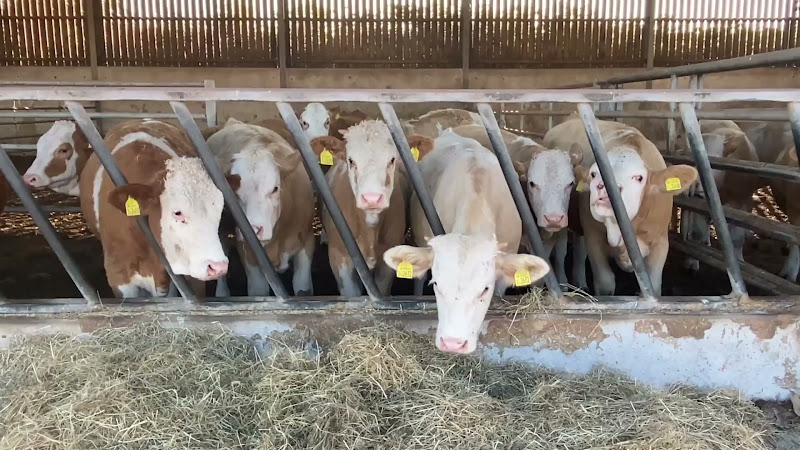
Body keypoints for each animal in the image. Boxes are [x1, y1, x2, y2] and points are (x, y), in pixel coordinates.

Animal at [207, 119, 315, 296]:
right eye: (234, 192)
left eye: (275, 188)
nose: (255, 229)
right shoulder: (248, 253)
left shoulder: (306, 243)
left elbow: (302, 287)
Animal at [545, 117, 698, 296]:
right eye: (594, 174)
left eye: (639, 177)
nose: (604, 189)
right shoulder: (594, 238)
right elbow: (606, 283)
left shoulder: (660, 242)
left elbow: (653, 286)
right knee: (561, 252)